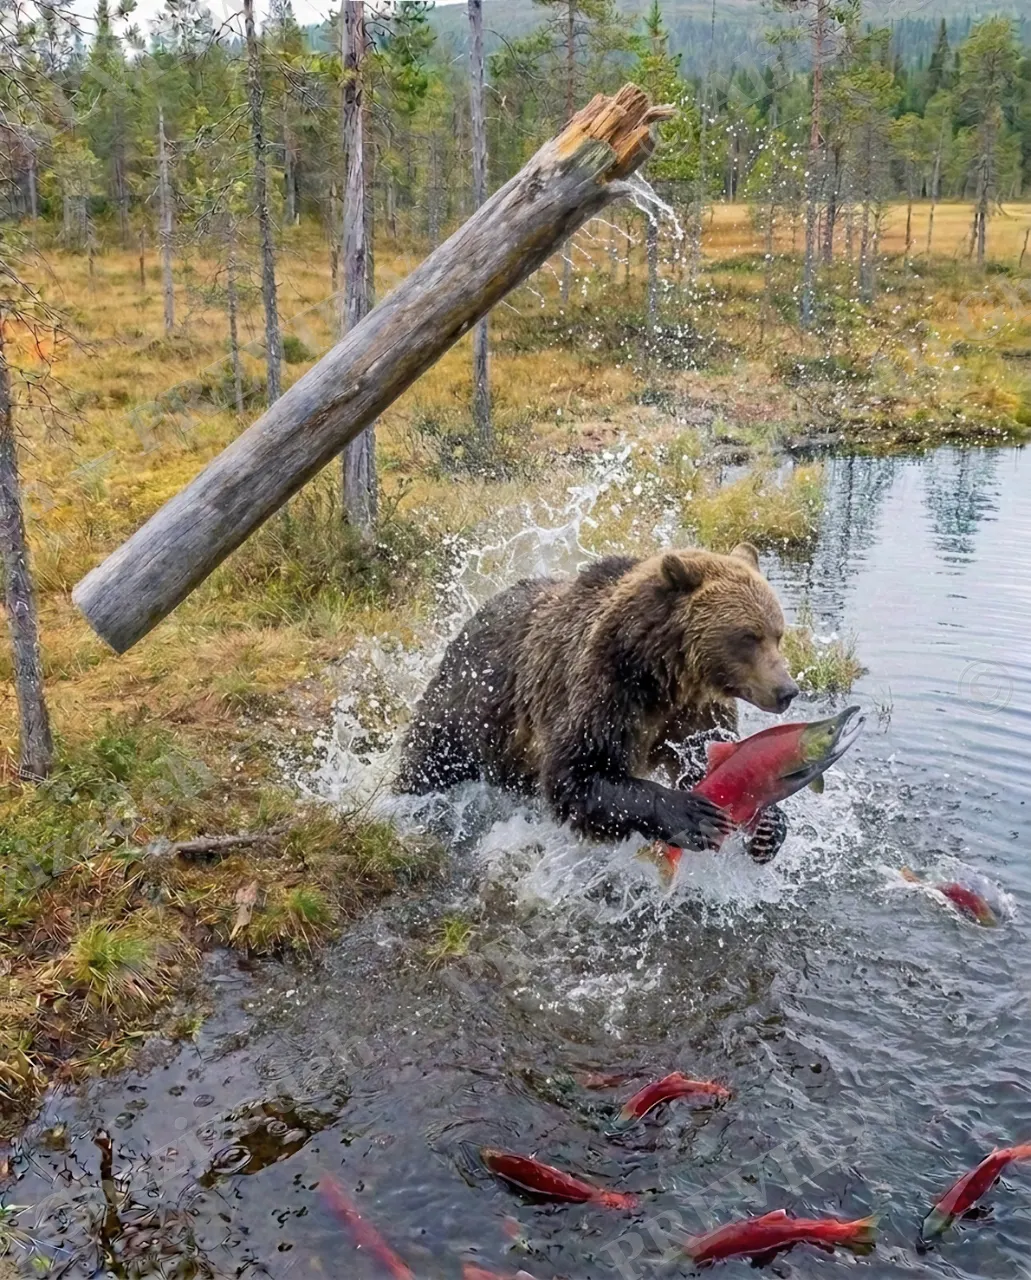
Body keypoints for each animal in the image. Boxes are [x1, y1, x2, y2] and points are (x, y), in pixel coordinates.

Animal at [395, 543, 799, 858]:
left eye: (777, 633)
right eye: (748, 636)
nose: (787, 691)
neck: (663, 673)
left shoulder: (693, 711)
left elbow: (706, 757)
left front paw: (768, 826)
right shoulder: (603, 690)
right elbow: (578, 773)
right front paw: (691, 814)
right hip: (468, 705)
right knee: (430, 760)